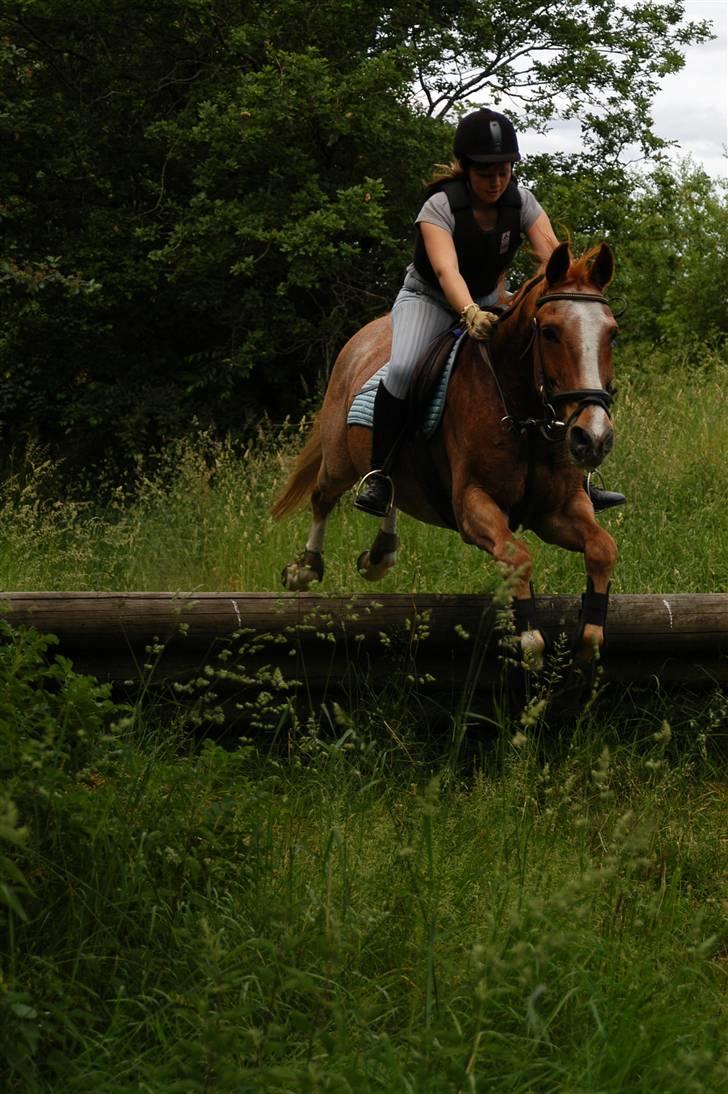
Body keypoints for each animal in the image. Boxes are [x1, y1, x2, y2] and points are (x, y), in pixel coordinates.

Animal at [272, 240, 617, 665]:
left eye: (612, 334)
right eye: (550, 332)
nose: (593, 438)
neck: (525, 417)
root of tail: (363, 337)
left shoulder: (557, 510)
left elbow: (602, 548)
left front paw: (590, 635)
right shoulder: (472, 506)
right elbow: (517, 556)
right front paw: (529, 637)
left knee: (391, 491)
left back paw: (379, 555)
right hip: (339, 458)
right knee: (323, 496)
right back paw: (305, 569)